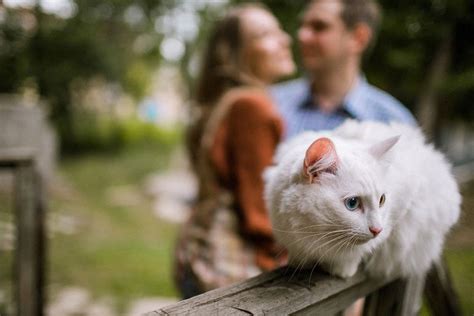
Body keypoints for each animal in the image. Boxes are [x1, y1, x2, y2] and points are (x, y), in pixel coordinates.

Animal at [262, 119, 460, 278]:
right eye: (352, 203)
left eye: (382, 200)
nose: (377, 230)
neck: (312, 232)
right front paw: (299, 261)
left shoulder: (404, 205)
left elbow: (356, 252)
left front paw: (343, 270)